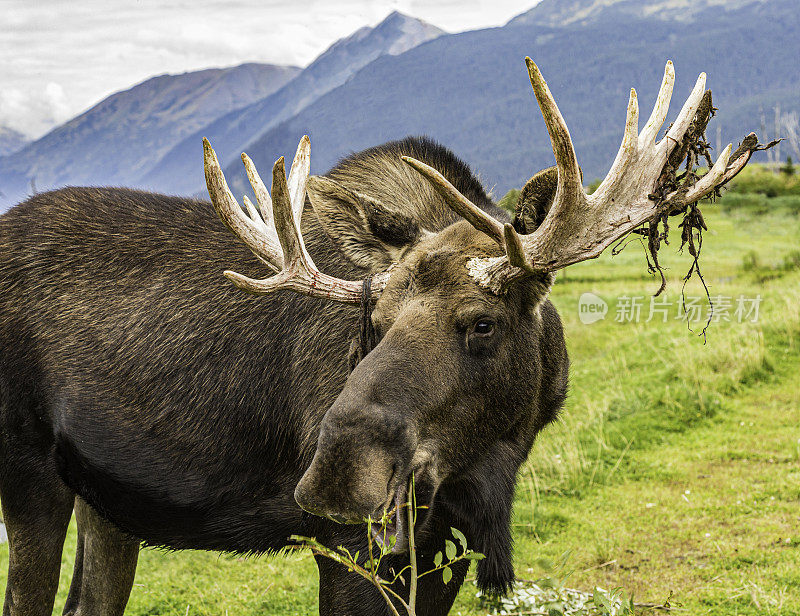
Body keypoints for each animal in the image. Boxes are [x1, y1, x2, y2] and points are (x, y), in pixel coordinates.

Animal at [0, 59, 756, 616]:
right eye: (375, 320)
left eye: (482, 322)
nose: (334, 471)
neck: (486, 462)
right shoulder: (353, 545)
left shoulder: (447, 540)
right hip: (29, 476)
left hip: (108, 501)